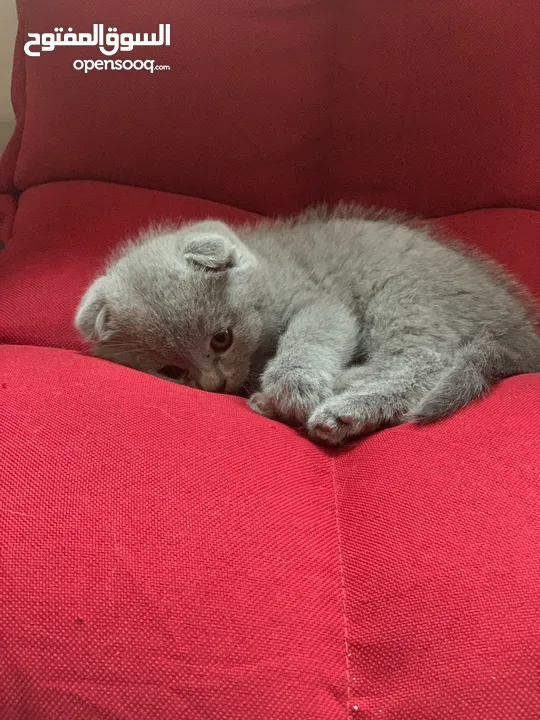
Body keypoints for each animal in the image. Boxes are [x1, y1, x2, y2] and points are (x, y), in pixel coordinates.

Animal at [75, 205, 540, 444]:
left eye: (221, 339)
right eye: (172, 371)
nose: (214, 385)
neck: (270, 272)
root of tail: (521, 328)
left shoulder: (320, 301)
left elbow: (309, 335)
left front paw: (292, 386)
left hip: (403, 293)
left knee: (423, 362)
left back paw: (338, 405)